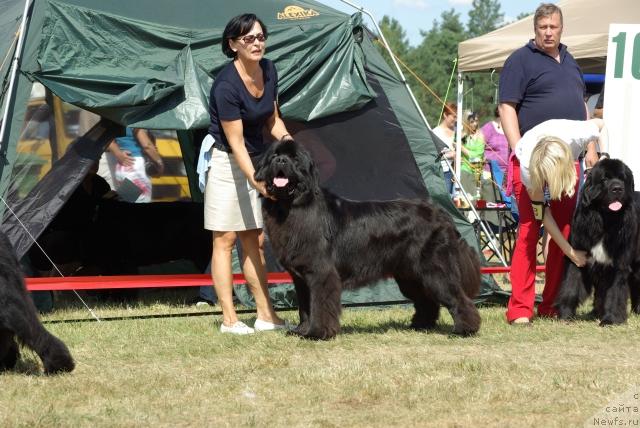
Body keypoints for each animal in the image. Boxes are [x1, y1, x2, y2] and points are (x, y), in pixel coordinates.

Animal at [255, 139, 480, 340]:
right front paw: (300, 331)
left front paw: (317, 334)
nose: (281, 160)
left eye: (294, 158)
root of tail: (443, 214)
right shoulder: (300, 278)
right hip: (410, 275)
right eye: (274, 156)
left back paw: (464, 330)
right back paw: (421, 325)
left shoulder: (320, 273)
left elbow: (319, 305)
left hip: (435, 270)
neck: (292, 205)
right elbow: (304, 307)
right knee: (427, 301)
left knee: (458, 298)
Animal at [556, 159, 640, 326]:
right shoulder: (577, 256)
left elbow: (615, 293)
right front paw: (565, 315)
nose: (617, 188)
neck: (606, 222)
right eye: (605, 179)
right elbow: (570, 287)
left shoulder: (619, 264)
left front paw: (611, 319)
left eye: (622, 179)